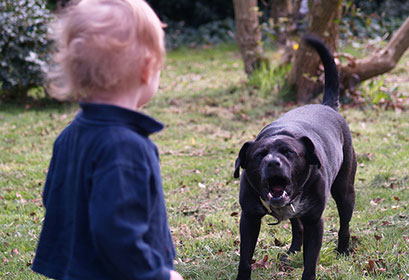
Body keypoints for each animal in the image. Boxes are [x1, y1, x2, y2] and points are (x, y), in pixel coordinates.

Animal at [234, 35, 356, 280]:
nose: (273, 162)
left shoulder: (314, 221)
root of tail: (328, 106)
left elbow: (311, 262)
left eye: (289, 152)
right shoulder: (249, 218)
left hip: (345, 190)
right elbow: (245, 259)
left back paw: (343, 250)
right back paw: (292, 251)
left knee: (344, 224)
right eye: (259, 155)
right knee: (296, 227)